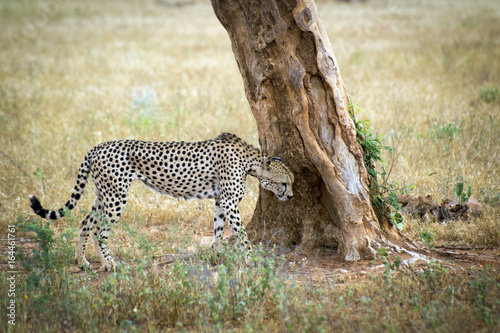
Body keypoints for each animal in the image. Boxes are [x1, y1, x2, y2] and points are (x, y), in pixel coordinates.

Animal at [29, 132, 294, 270]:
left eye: (291, 182)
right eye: (284, 183)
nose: (290, 196)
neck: (251, 161)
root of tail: (98, 146)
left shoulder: (220, 200)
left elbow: (219, 230)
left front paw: (217, 255)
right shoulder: (229, 201)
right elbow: (241, 234)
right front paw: (250, 259)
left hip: (103, 195)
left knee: (85, 223)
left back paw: (82, 261)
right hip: (117, 197)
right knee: (100, 230)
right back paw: (110, 264)